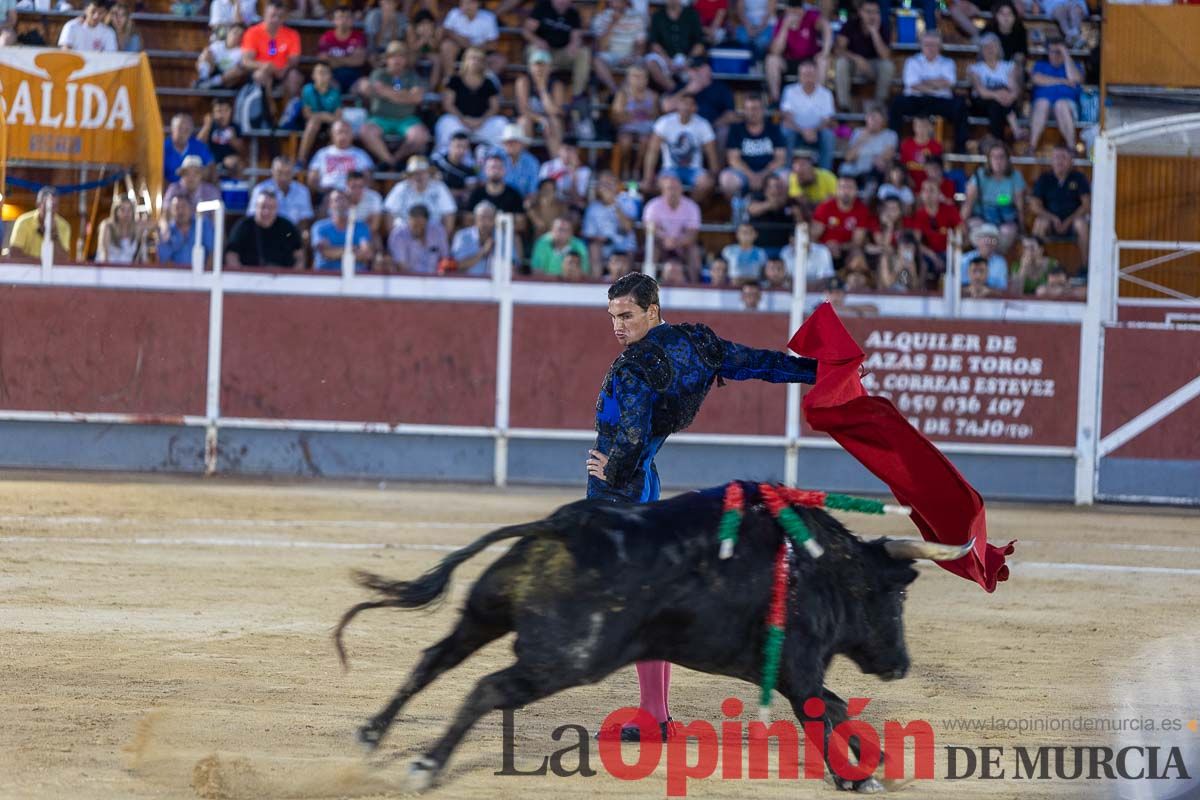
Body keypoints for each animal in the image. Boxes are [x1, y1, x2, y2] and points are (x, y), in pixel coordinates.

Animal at [333, 489, 969, 796]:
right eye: (898, 596)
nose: (901, 665)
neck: (820, 567)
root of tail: (561, 525)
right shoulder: (798, 669)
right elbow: (824, 710)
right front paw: (858, 774)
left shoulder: (796, 672)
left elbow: (834, 709)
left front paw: (873, 764)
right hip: (568, 658)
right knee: (487, 688)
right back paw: (424, 766)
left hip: (483, 616)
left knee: (434, 659)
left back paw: (369, 735)